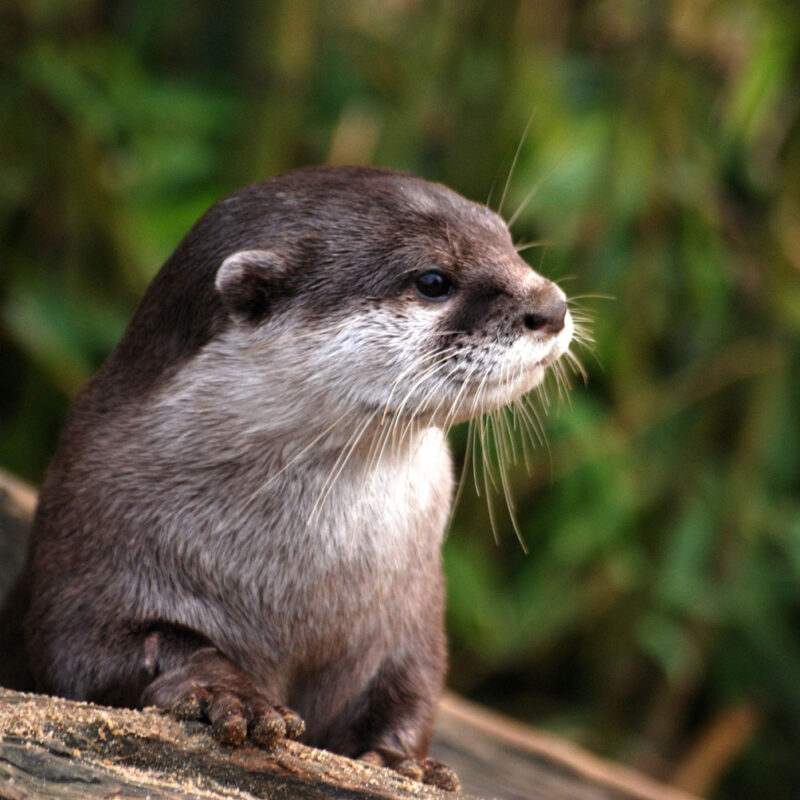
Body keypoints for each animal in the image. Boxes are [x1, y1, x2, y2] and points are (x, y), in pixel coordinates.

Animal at [1, 166, 576, 792]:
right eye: (432, 280)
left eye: (508, 242)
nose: (552, 306)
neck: (298, 587)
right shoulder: (88, 544)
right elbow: (98, 654)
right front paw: (228, 694)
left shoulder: (413, 612)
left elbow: (413, 688)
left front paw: (401, 761)